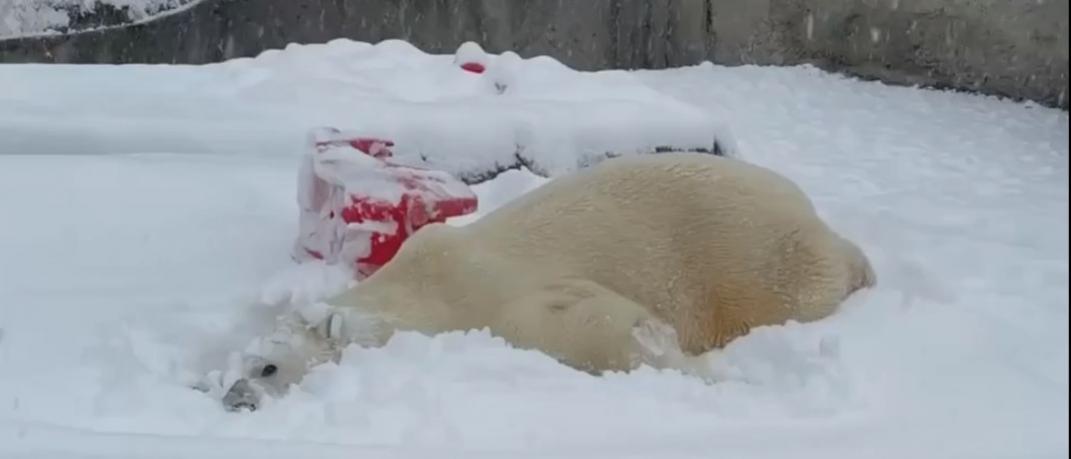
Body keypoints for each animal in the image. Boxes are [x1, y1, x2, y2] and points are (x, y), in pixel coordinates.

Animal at [215, 151, 869, 408]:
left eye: (267, 367)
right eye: (232, 368)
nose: (234, 398)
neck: (420, 287)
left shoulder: (489, 298)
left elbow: (590, 321)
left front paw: (688, 366)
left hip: (756, 257)